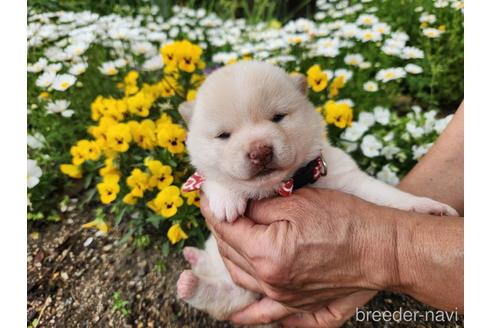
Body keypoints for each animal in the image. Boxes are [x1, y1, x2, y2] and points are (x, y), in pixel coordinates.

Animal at [176, 60, 458, 320]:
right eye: (223, 135)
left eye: (278, 117)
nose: (260, 151)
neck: (283, 186)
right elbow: (209, 177)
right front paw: (227, 199)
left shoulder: (348, 179)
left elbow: (385, 195)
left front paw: (428, 207)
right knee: (220, 299)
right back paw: (191, 272)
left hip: (246, 289)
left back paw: (191, 271)